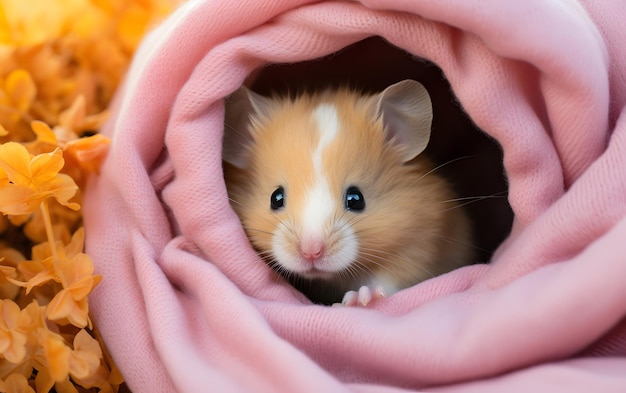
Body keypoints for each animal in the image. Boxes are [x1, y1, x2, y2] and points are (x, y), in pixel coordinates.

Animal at [222, 79, 470, 304]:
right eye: (276, 198)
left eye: (356, 199)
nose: (311, 253)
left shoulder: (420, 243)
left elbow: (388, 280)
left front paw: (360, 299)